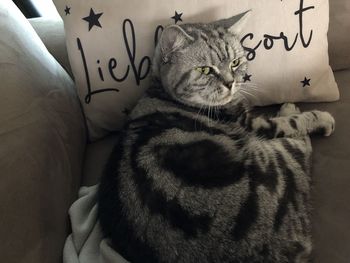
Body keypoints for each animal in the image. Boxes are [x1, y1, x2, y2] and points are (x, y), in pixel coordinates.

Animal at [97, 11, 334, 262]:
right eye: (205, 70)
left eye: (235, 63)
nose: (231, 83)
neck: (163, 93)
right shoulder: (251, 125)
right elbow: (292, 123)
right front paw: (313, 116)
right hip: (274, 167)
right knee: (300, 152)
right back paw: (292, 109)